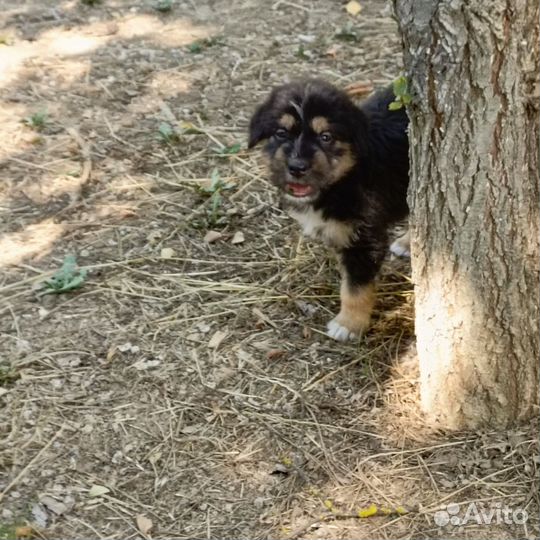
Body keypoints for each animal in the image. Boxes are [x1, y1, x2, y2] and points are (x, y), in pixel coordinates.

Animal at [249, 79, 410, 342]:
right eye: (281, 133)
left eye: (326, 137)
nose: (297, 167)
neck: (346, 177)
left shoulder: (364, 238)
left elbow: (355, 288)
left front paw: (348, 325)